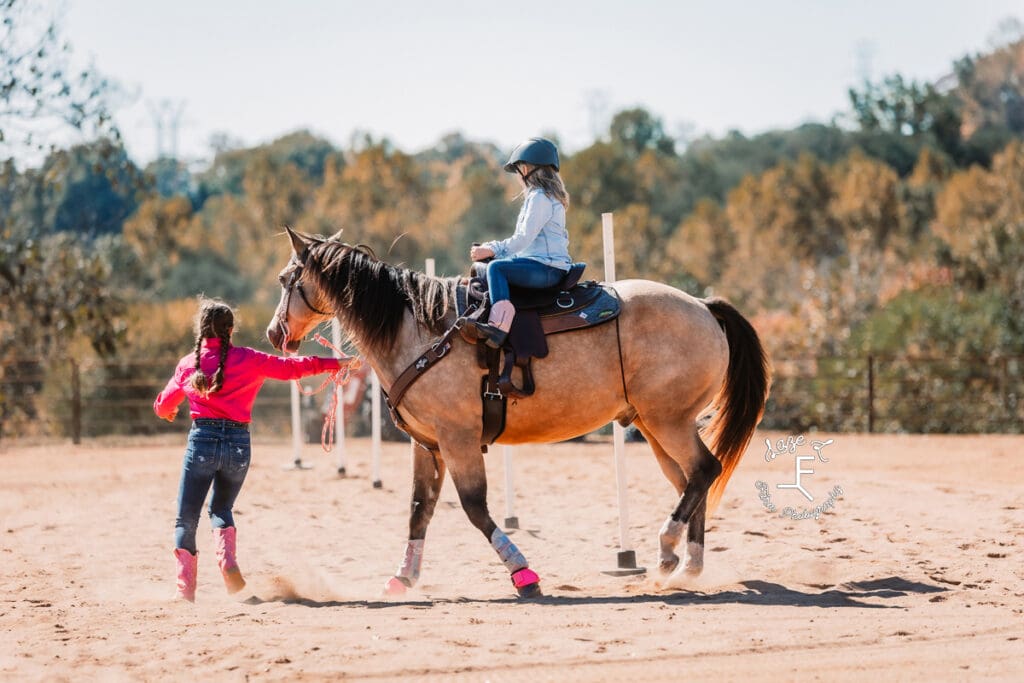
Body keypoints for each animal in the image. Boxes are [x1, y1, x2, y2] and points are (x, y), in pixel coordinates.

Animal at [264, 225, 770, 598]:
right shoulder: (427, 444)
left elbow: (474, 508)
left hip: (669, 422)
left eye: (287, 280)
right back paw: (687, 566)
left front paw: (523, 574)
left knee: (704, 470)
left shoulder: (458, 440)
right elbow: (419, 509)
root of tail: (702, 305)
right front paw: (403, 577)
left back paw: (666, 551)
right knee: (693, 480)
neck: (424, 332)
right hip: (655, 426)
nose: (273, 333)